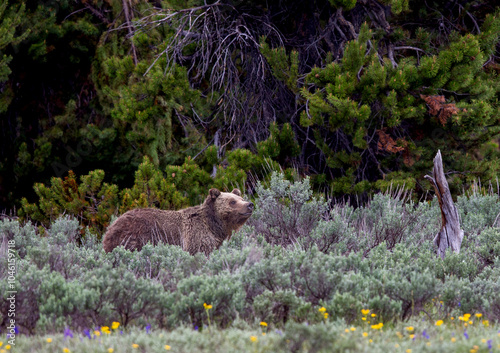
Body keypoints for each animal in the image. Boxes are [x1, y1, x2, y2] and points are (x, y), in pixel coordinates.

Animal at [102, 188, 254, 254]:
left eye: (241, 198)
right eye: (232, 201)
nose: (250, 204)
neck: (214, 225)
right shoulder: (195, 236)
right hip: (136, 237)